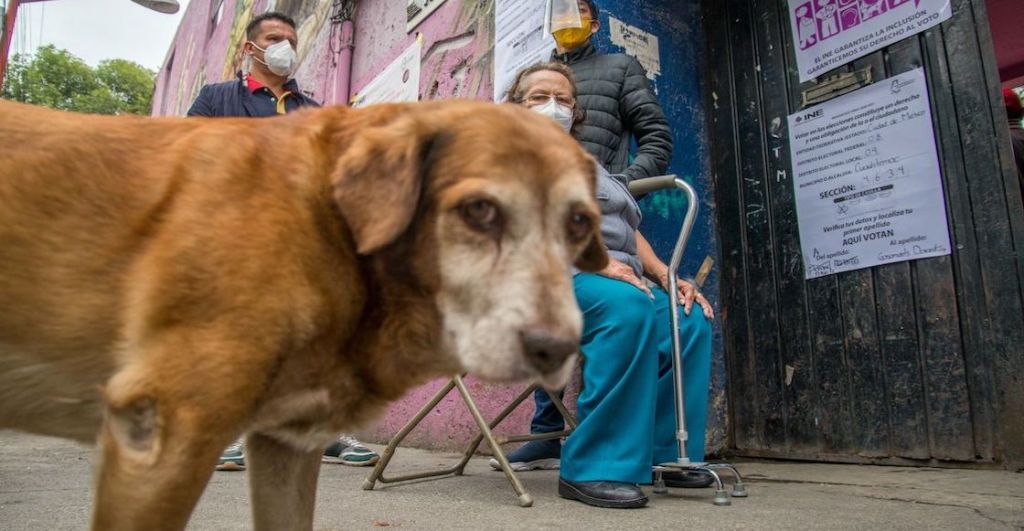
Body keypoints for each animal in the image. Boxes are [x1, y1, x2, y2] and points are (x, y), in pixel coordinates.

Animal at [0, 100, 606, 531]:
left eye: (579, 222)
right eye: (480, 210)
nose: (556, 350)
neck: (332, 226)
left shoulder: (287, 445)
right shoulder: (163, 434)